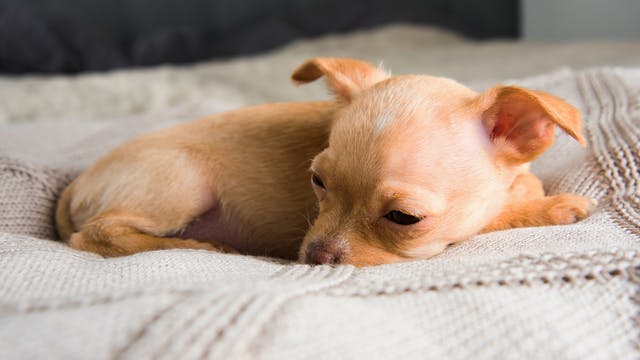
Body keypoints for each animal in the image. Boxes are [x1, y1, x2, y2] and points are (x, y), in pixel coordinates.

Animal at [56, 57, 596, 268]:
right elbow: (497, 216)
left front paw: (528, 189)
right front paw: (552, 207)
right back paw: (202, 246)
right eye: (317, 182)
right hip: (182, 181)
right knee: (98, 235)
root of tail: (77, 186)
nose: (313, 257)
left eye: (403, 218)